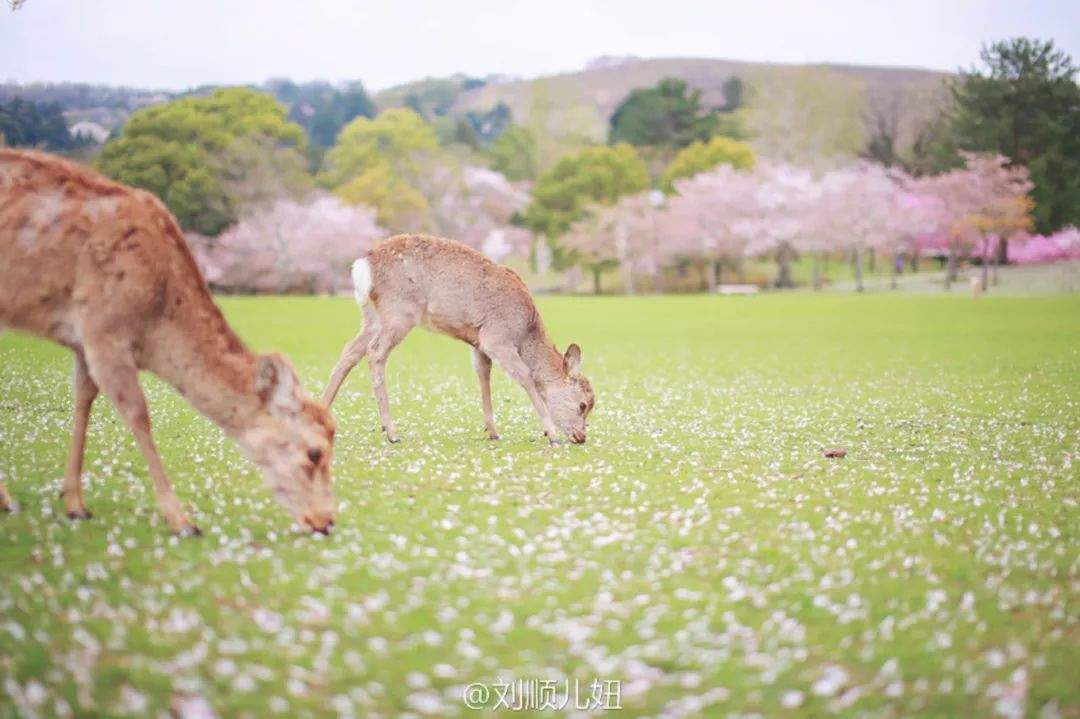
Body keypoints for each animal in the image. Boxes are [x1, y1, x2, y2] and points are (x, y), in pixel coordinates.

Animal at [0, 150, 334, 531]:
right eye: (315, 452)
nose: (326, 520)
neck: (154, 328)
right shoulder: (104, 327)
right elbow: (137, 412)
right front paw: (181, 518)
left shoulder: (85, 342)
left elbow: (83, 398)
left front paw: (75, 504)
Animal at [319, 234, 596, 442]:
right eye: (583, 404)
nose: (581, 437)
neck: (525, 332)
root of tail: (362, 266)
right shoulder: (497, 338)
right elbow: (526, 376)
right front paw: (550, 433)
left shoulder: (478, 343)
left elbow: (483, 376)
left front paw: (493, 431)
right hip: (399, 311)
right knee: (375, 352)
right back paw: (391, 431)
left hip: (371, 316)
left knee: (350, 351)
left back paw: (322, 412)